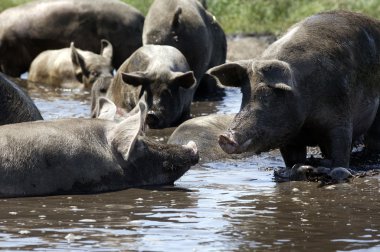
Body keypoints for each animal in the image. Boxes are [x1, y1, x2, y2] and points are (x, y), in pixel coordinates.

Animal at [208, 11, 380, 169]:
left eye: (267, 93)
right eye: (244, 92)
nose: (224, 137)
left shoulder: (340, 116)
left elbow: (340, 151)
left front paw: (338, 169)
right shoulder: (288, 134)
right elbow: (292, 158)